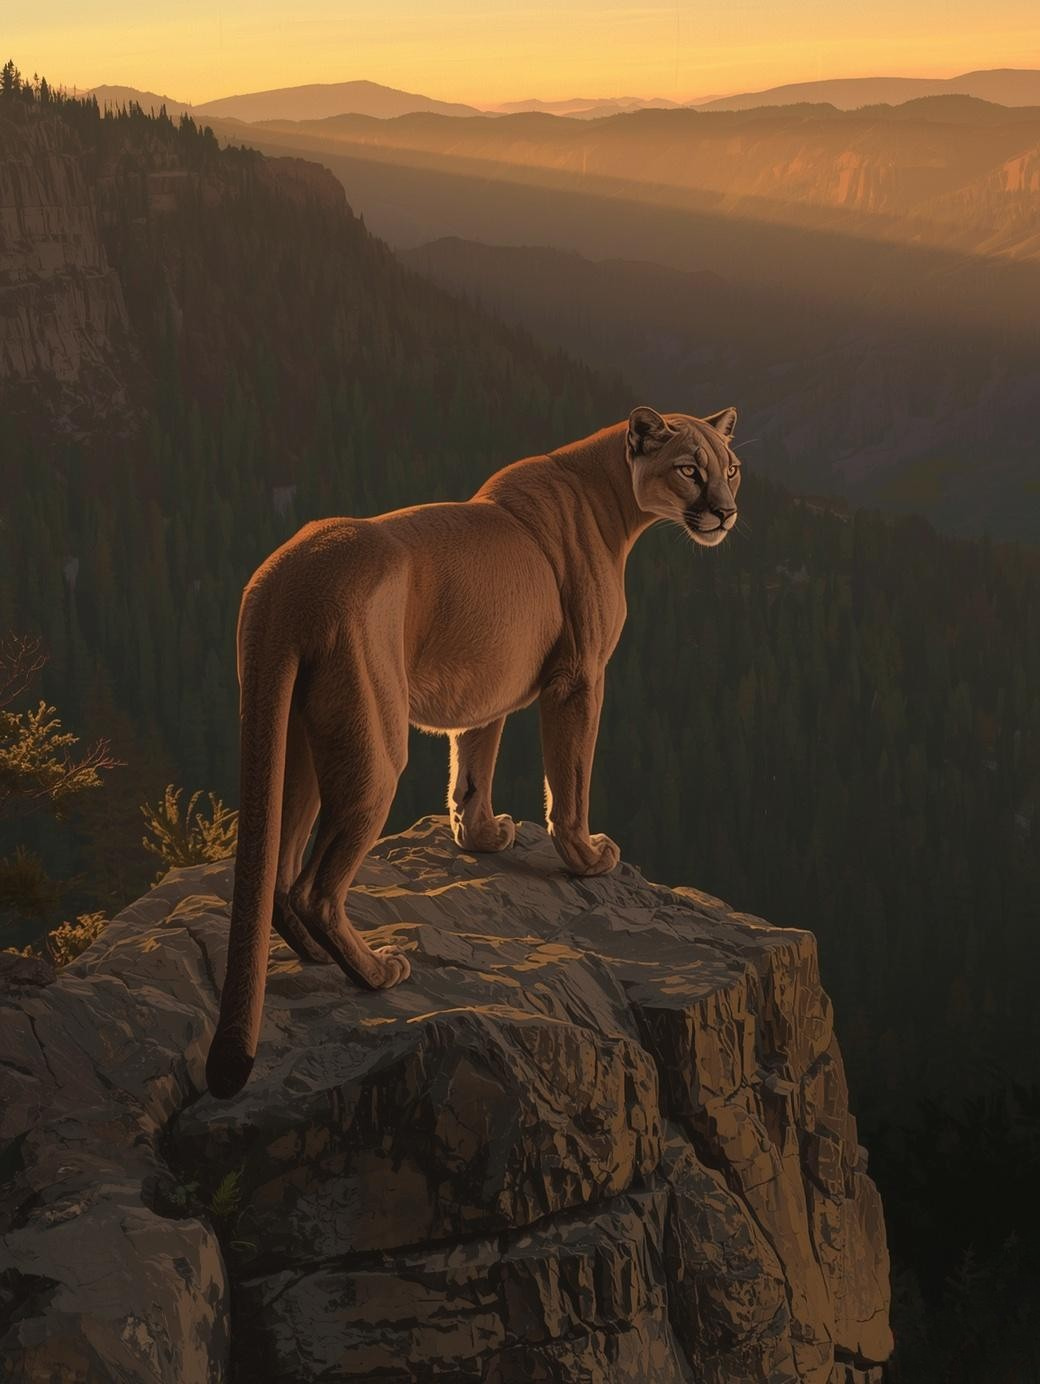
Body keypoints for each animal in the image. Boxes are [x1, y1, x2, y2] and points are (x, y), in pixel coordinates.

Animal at [206, 405, 742, 1097]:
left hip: (295, 743)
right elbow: (571, 778)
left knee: (279, 870)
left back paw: (322, 957)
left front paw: (481, 837)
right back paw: (376, 971)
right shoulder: (579, 679)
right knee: (313, 889)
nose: (726, 511)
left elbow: (472, 770)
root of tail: (283, 580)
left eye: (731, 468)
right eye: (689, 470)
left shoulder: (488, 685)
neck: (612, 499)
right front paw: (587, 858)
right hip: (375, 751)